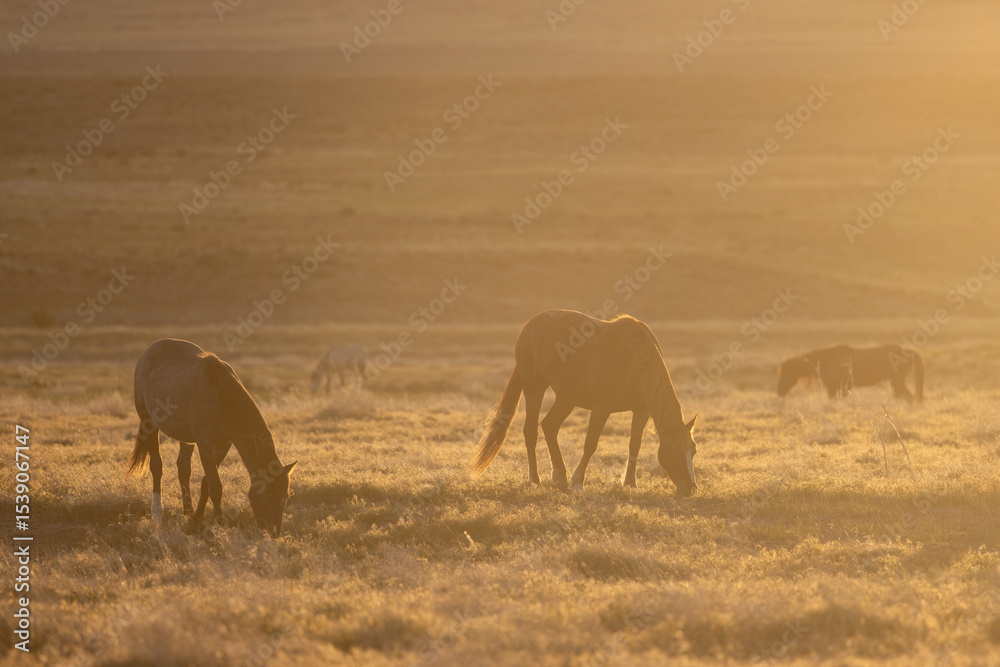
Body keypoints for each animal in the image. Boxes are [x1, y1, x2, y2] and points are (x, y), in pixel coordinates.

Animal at [127, 338, 296, 537]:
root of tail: (149, 350)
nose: (274, 532)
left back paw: (188, 511)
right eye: (269, 496)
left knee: (183, 468)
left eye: (286, 496)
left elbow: (206, 484)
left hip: (186, 438)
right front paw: (219, 524)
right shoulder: (205, 444)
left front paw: (196, 520)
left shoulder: (224, 445)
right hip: (149, 423)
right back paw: (157, 513)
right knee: (156, 467)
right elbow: (215, 486)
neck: (222, 397)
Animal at [471, 309, 698, 495]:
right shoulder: (601, 408)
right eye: (677, 451)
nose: (691, 488)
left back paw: (559, 477)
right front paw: (578, 482)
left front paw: (630, 483)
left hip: (566, 398)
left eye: (693, 450)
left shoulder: (641, 411)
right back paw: (535, 480)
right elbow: (590, 443)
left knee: (549, 426)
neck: (632, 359)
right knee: (531, 431)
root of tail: (529, 327)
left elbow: (635, 445)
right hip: (534, 388)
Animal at [777, 343, 924, 403]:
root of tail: (910, 351)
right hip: (895, 383)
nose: (779, 392)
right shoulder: (840, 388)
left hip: (898, 382)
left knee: (910, 398)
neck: (827, 360)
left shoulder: (835, 388)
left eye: (786, 373)